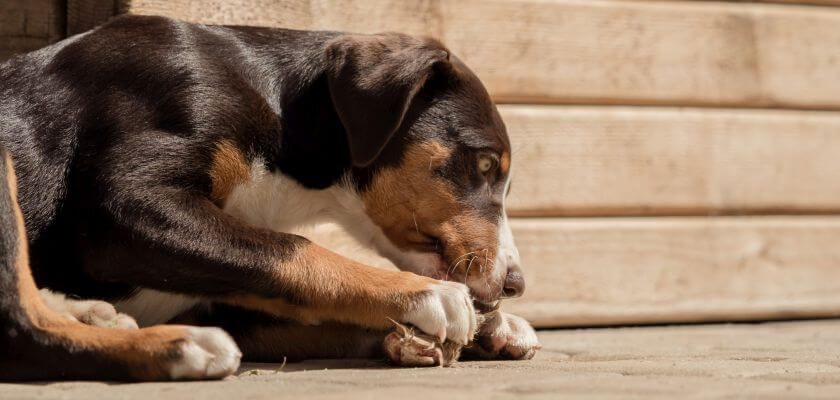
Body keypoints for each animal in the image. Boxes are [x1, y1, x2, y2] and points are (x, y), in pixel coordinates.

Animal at [0, 14, 540, 380]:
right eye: (485, 165)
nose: (515, 283)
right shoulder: (123, 211)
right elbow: (296, 252)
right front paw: (425, 296)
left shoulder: (220, 296)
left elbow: (306, 296)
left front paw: (489, 327)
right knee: (20, 327)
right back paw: (179, 348)